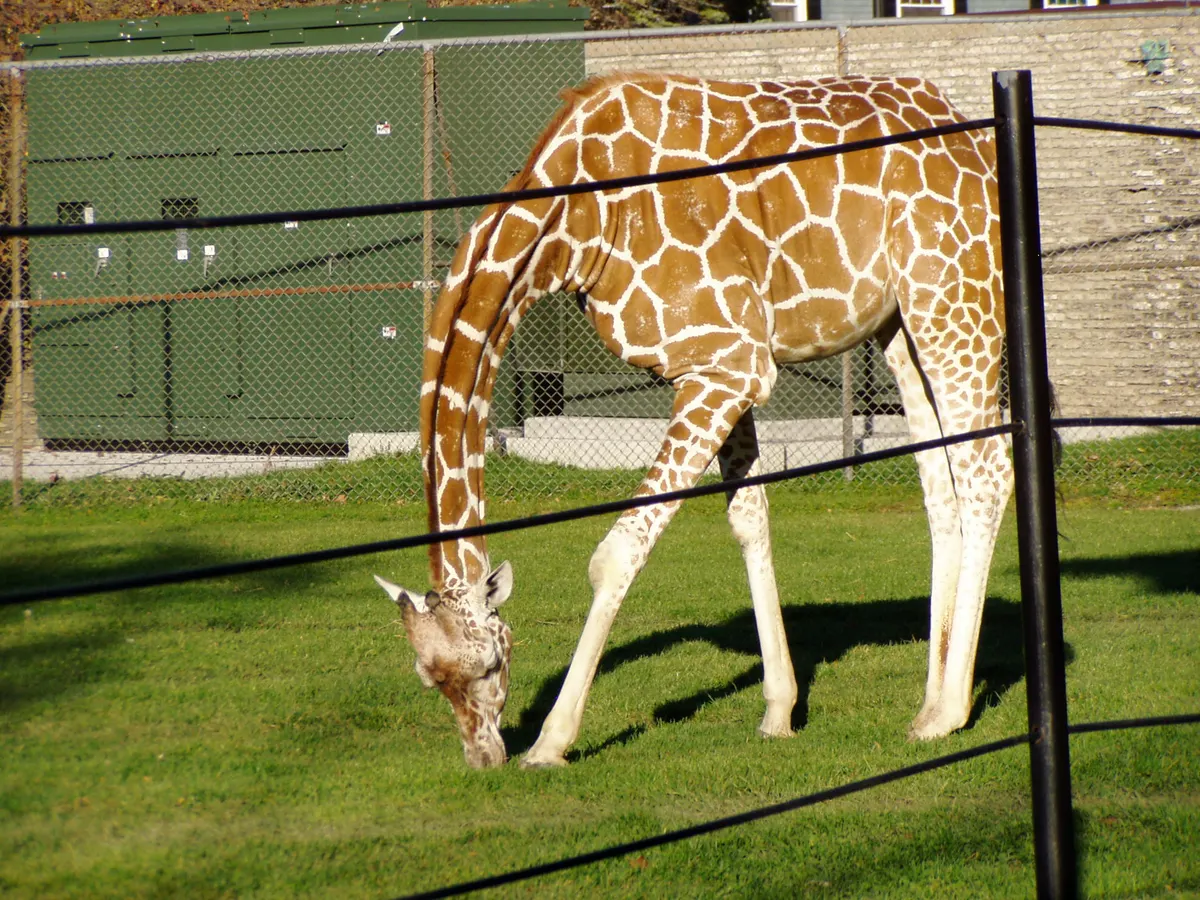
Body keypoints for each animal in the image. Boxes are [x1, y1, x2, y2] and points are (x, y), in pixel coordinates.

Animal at [374, 73, 1013, 769]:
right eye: (428, 677)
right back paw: (927, 702)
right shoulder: (715, 367)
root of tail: (975, 146)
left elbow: (616, 553)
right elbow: (749, 519)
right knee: (941, 487)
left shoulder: (729, 362)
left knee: (987, 473)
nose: (484, 757)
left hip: (954, 297)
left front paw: (550, 741)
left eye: (491, 664)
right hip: (899, 323)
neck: (578, 219)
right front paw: (779, 711)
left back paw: (949, 714)